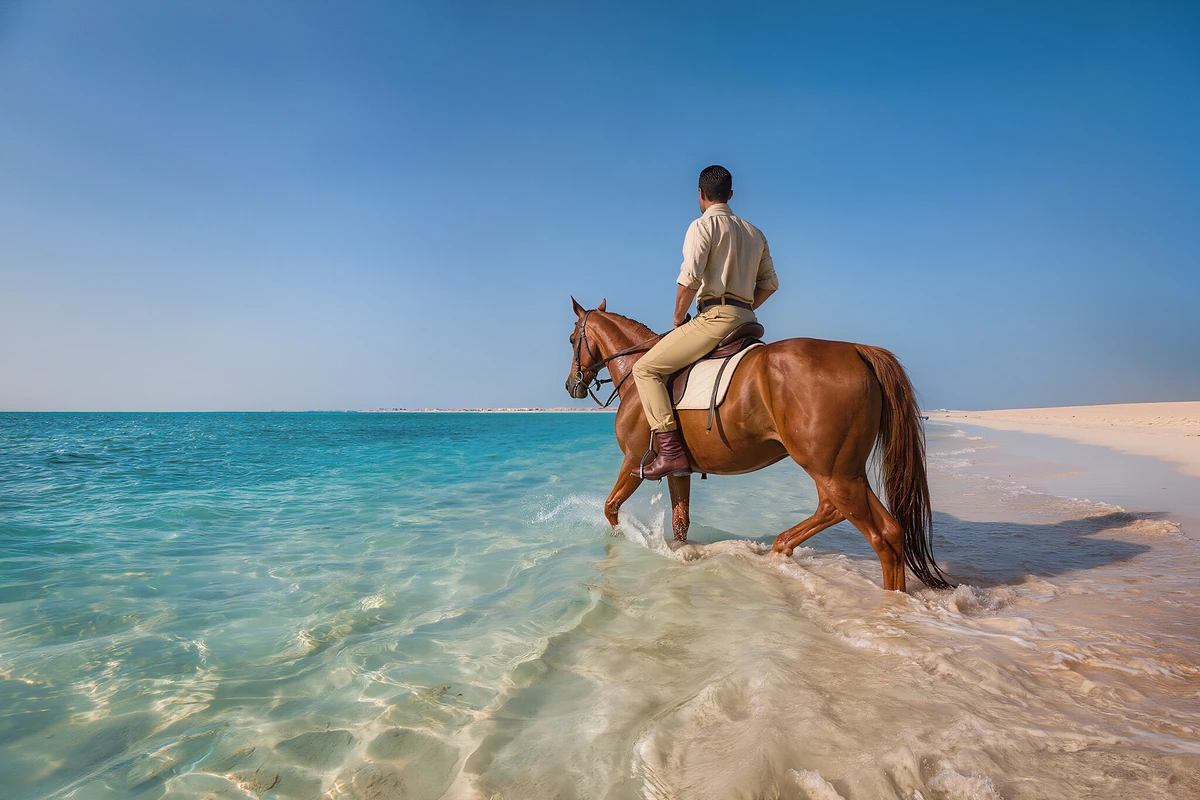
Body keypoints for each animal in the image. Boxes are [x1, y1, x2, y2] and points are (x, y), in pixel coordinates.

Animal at [564, 297, 953, 592]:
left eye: (571, 339)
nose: (572, 385)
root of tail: (858, 351)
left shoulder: (633, 460)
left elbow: (611, 508)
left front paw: (623, 539)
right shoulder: (679, 471)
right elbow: (680, 524)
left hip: (832, 471)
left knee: (875, 534)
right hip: (847, 470)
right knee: (877, 526)